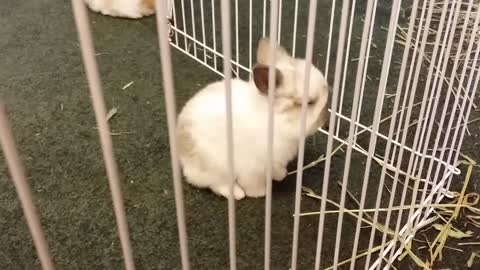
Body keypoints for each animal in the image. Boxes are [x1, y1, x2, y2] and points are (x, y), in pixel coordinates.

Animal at [176, 37, 330, 198]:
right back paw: (238, 194)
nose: (326, 116)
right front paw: (261, 193)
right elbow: (252, 184)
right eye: (310, 102)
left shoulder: (274, 161)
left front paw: (281, 175)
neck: (276, 121)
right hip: (217, 166)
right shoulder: (252, 169)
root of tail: (182, 154)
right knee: (218, 184)